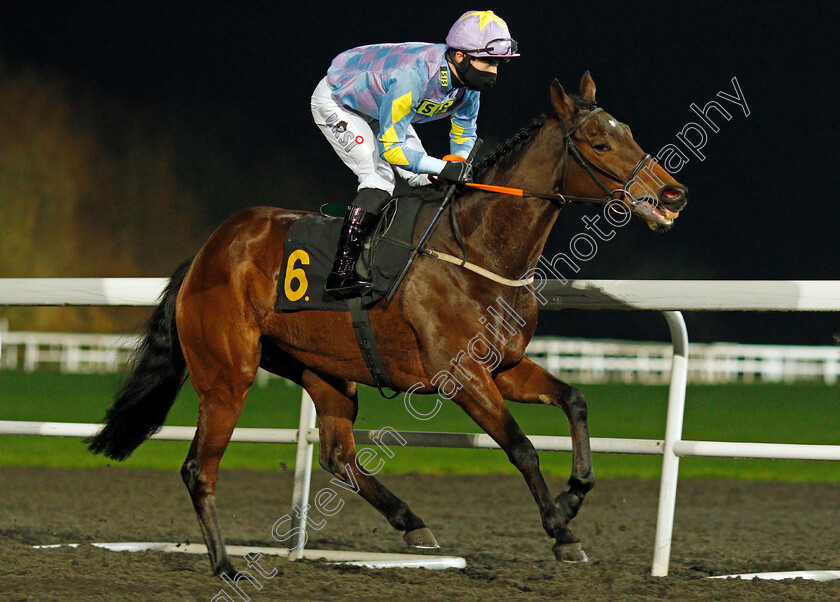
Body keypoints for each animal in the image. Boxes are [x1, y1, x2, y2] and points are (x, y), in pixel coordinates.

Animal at [87, 72, 688, 576]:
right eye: (601, 143)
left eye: (628, 132)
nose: (672, 192)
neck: (476, 249)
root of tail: (206, 253)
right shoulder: (461, 374)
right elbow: (520, 446)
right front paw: (561, 531)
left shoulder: (505, 364)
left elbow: (575, 400)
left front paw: (575, 491)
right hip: (227, 374)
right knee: (199, 468)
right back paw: (225, 565)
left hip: (322, 369)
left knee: (337, 454)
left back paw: (412, 524)